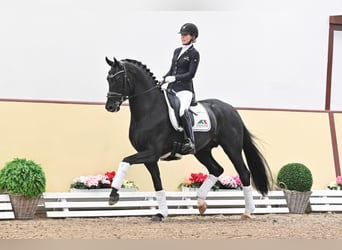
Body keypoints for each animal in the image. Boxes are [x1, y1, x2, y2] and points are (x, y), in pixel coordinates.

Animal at [105, 56, 272, 221]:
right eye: (108, 78)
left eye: (118, 78)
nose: (110, 107)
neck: (149, 111)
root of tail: (233, 110)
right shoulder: (149, 158)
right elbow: (157, 183)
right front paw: (161, 213)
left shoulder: (152, 152)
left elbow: (125, 161)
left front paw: (113, 195)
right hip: (202, 151)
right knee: (216, 169)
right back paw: (201, 203)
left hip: (232, 147)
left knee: (243, 173)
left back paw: (248, 211)